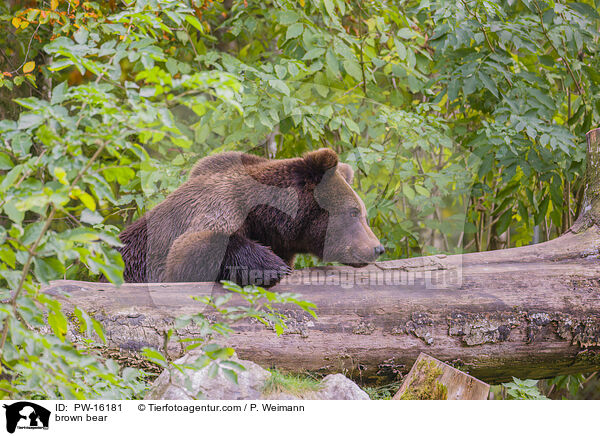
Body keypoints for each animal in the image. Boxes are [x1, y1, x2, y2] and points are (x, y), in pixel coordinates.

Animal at [117, 148, 384, 288]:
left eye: (363, 213)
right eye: (353, 212)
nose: (377, 248)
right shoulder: (221, 207)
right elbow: (190, 251)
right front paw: (272, 267)